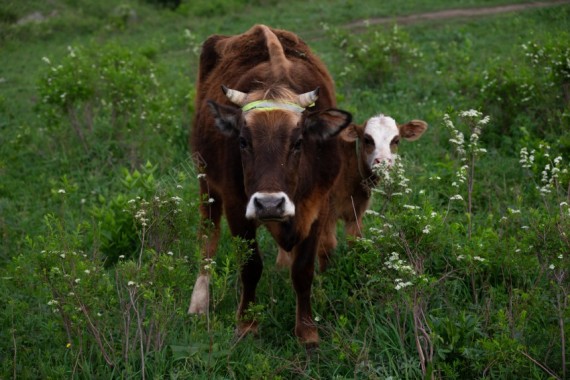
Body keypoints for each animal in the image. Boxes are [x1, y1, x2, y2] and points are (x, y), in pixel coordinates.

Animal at [189, 24, 350, 348]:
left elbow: (303, 270)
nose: (269, 203)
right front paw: (246, 324)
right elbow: (251, 267)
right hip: (205, 181)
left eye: (299, 142)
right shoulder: (237, 207)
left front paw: (307, 330)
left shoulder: (318, 205)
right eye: (242, 141)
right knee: (208, 236)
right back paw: (199, 302)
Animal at [276, 114, 426, 272]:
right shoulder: (326, 213)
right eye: (367, 140)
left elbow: (356, 241)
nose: (383, 162)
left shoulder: (356, 211)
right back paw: (282, 265)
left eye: (396, 141)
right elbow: (327, 246)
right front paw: (325, 275)